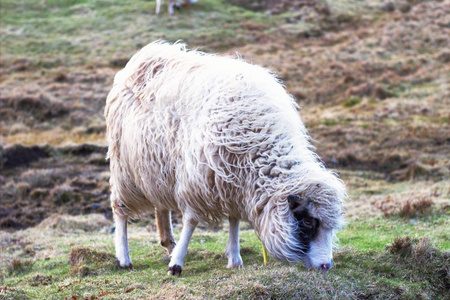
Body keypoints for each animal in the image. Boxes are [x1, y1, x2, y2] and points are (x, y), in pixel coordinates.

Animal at [104, 41, 344, 276]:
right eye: (308, 221)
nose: (327, 265)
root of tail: (144, 56)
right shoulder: (199, 180)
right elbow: (191, 221)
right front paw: (177, 264)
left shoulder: (232, 182)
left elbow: (234, 220)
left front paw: (234, 258)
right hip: (123, 166)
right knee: (120, 209)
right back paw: (125, 258)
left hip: (154, 167)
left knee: (160, 206)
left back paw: (168, 243)